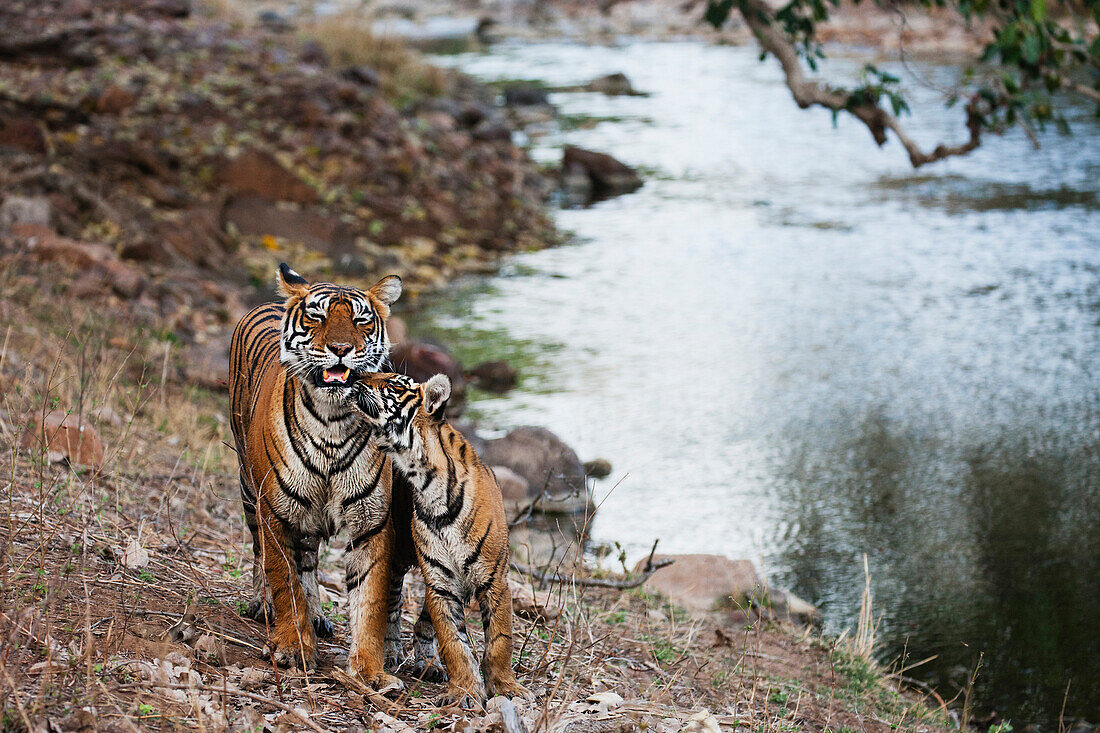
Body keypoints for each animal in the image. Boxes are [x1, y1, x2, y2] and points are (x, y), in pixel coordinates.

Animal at [228, 260, 404, 686]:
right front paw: (293, 648)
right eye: (317, 317)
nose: (341, 350)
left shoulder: (371, 522)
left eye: (360, 320)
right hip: (248, 487)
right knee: (260, 552)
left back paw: (318, 616)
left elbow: (369, 598)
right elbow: (284, 578)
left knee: (308, 558)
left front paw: (370, 670)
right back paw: (263, 604)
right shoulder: (274, 510)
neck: (332, 420)